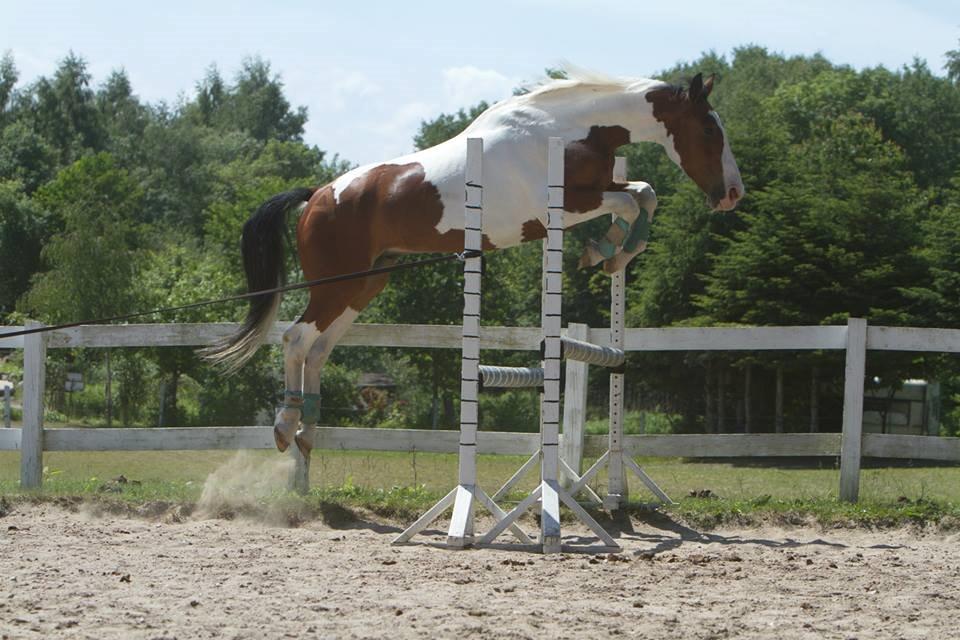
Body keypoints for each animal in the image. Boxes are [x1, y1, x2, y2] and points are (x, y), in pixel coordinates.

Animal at [202, 70, 744, 456]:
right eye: (708, 130)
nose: (733, 194)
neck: (567, 132)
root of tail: (318, 194)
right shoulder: (564, 208)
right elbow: (632, 201)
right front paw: (606, 251)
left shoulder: (595, 192)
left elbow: (643, 193)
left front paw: (612, 254)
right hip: (336, 284)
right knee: (297, 339)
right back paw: (285, 425)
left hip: (366, 284)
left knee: (318, 348)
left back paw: (309, 431)